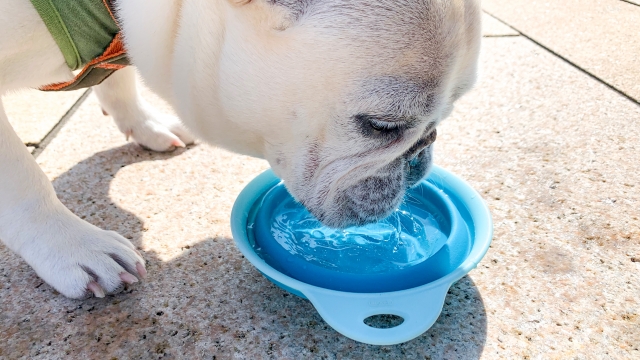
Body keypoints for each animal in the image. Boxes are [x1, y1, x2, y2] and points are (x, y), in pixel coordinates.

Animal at [0, 0, 480, 298]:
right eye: (383, 126)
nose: (423, 152)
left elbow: (118, 79)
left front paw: (145, 123)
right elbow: (21, 180)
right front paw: (72, 246)